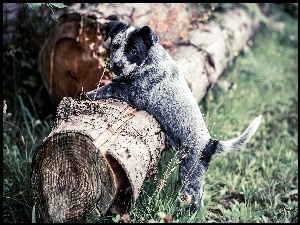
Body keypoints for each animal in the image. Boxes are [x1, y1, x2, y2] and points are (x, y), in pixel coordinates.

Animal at [86, 21, 260, 213]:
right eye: (115, 45)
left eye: (133, 50)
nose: (115, 66)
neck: (150, 61)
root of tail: (210, 144)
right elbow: (117, 82)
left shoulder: (137, 95)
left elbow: (112, 86)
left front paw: (92, 93)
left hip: (190, 176)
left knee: (196, 201)